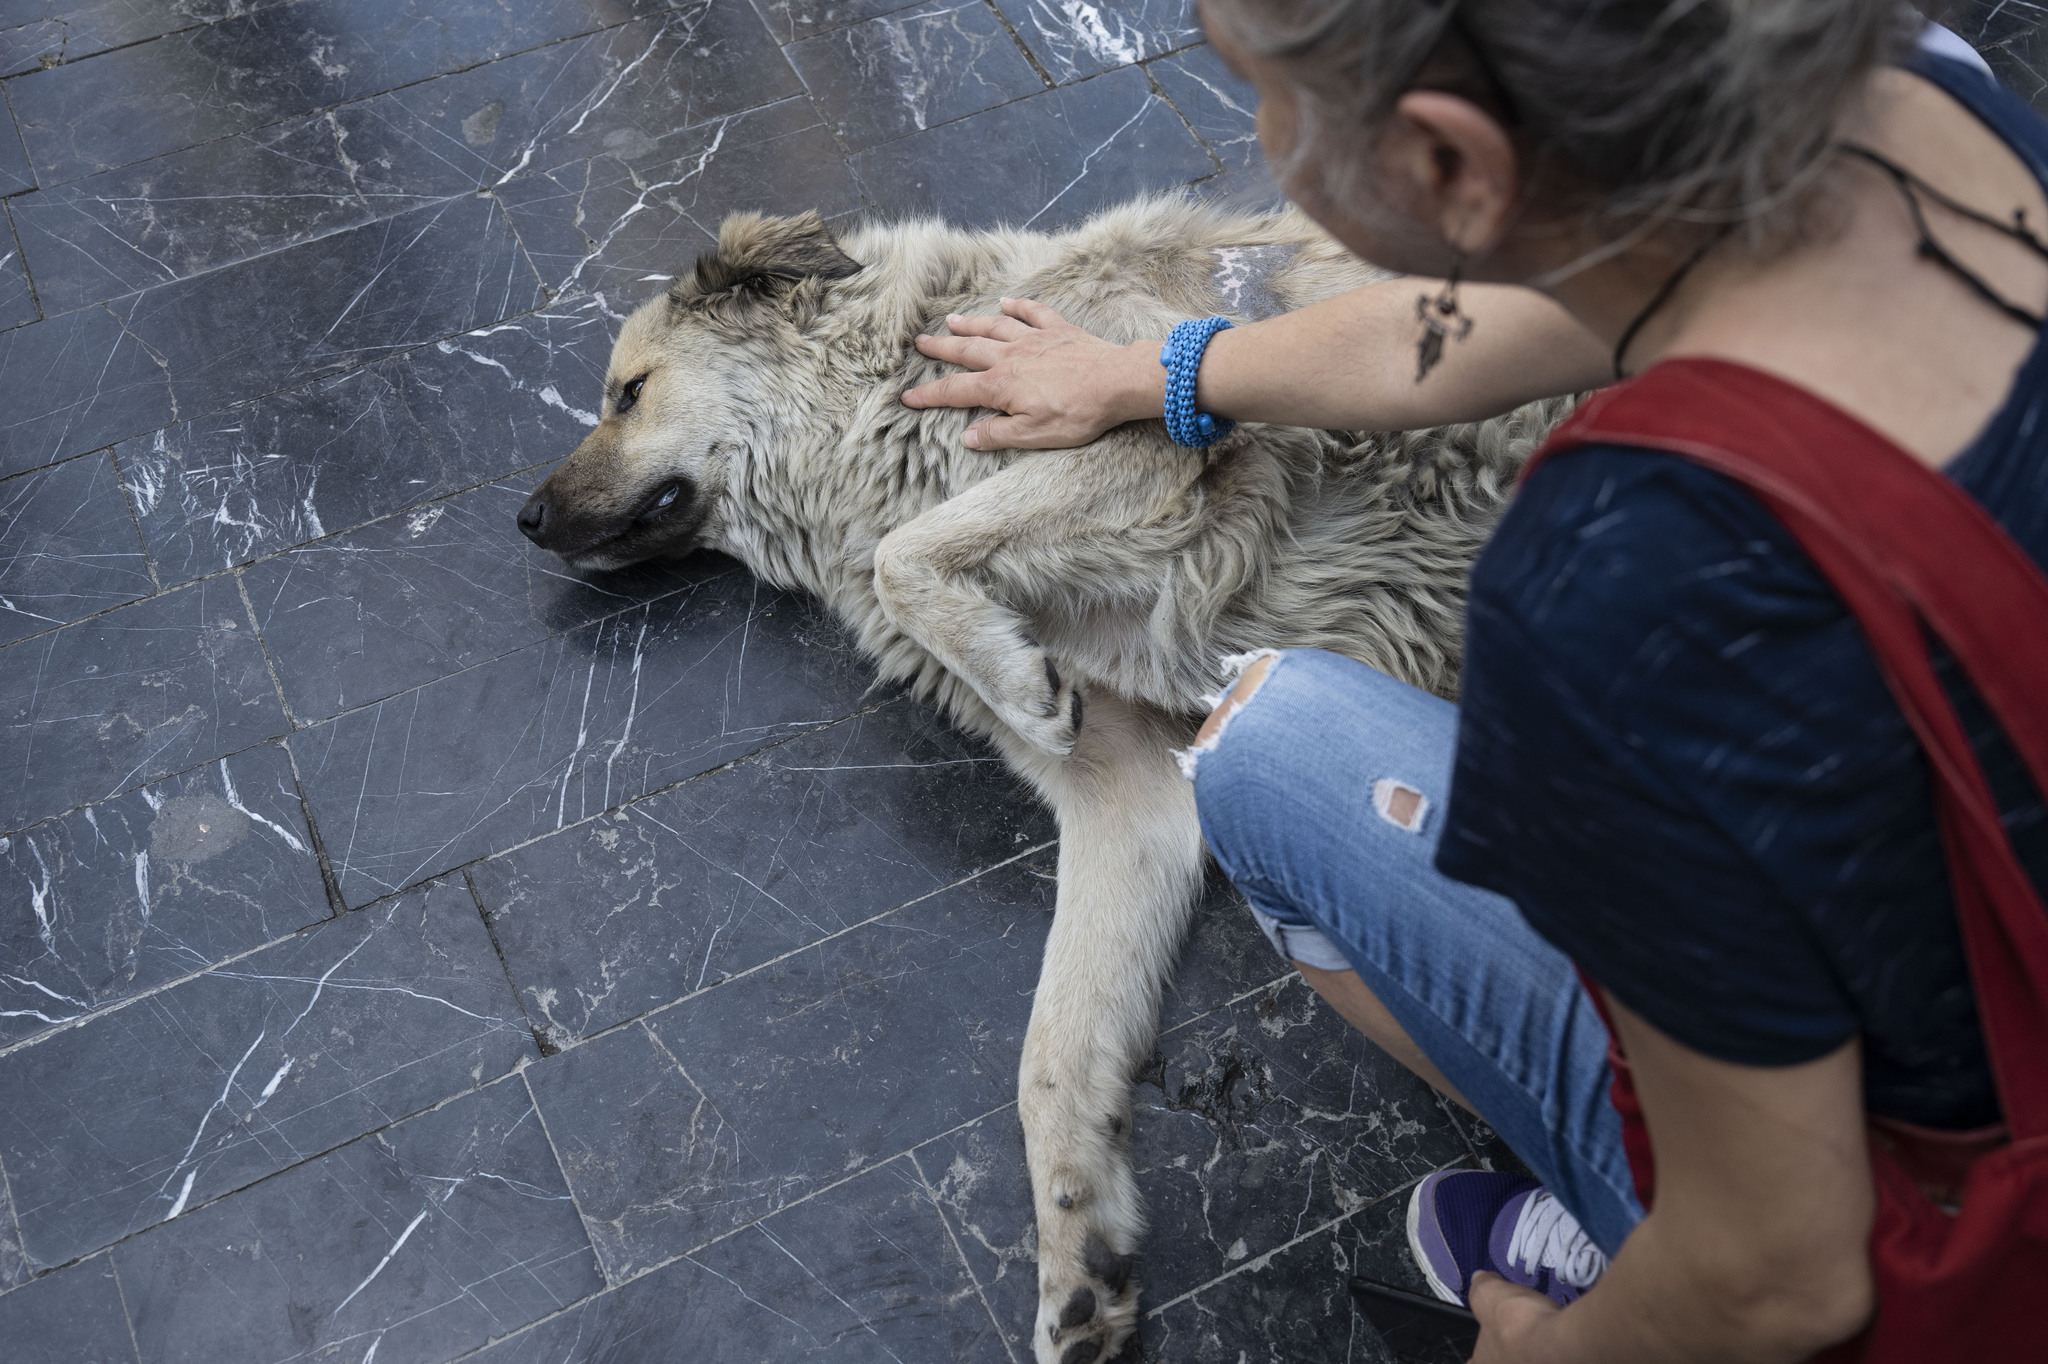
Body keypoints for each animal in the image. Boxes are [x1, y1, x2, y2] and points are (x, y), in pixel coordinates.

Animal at [515, 197, 1560, 1363]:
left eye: (629, 392)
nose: (527, 519)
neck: (882, 386)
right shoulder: (1135, 795)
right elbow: (1051, 1052)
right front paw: (1076, 1241)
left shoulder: (1150, 417)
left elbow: (909, 549)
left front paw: (1012, 676)